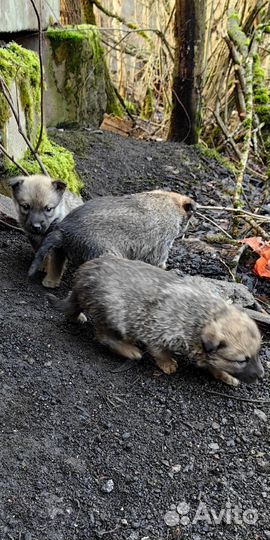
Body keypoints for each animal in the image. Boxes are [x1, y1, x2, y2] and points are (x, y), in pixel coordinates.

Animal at [28, 191, 195, 288]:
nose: (187, 228)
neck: (170, 201)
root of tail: (64, 230)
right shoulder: (163, 239)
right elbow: (157, 259)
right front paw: (170, 269)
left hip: (61, 247)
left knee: (57, 260)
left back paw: (50, 281)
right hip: (99, 250)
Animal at [47, 256, 262, 386]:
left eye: (257, 353)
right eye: (242, 360)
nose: (261, 375)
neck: (204, 316)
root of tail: (81, 277)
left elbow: (213, 363)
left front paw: (225, 375)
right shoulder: (159, 328)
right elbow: (160, 351)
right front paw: (167, 363)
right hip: (112, 313)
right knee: (103, 336)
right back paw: (129, 349)